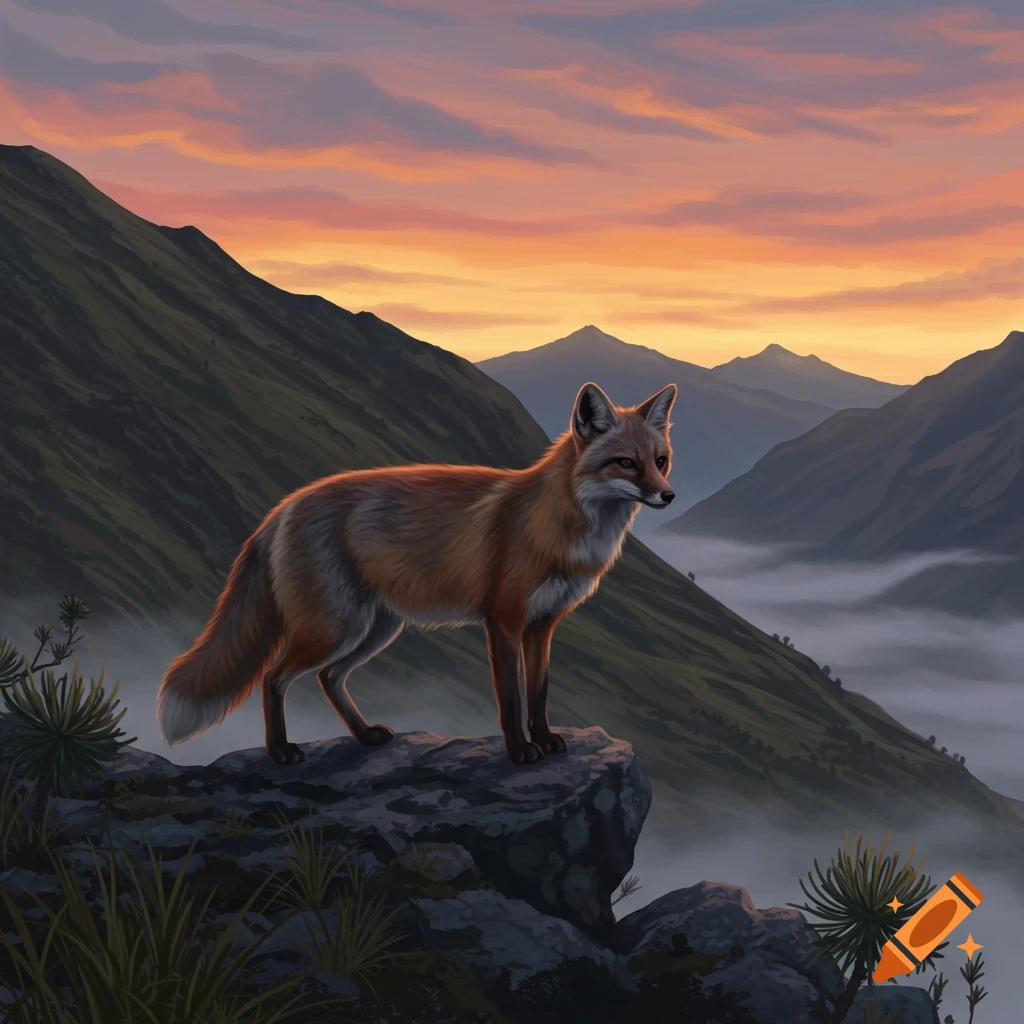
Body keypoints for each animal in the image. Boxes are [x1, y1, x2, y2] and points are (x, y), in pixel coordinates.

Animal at [156, 380, 677, 766]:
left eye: (660, 461)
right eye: (626, 464)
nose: (668, 496)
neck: (557, 525)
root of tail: (284, 505)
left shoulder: (543, 625)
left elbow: (540, 693)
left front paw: (545, 739)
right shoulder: (504, 621)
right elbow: (511, 700)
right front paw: (519, 751)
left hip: (375, 629)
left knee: (328, 677)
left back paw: (364, 735)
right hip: (335, 628)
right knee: (273, 678)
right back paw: (281, 750)